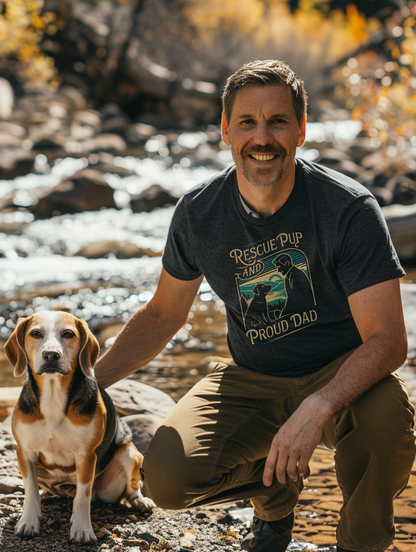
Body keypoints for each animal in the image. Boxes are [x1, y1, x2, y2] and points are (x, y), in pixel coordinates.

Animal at [5, 310, 154, 544]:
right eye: (35, 334)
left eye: (68, 334)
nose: (51, 355)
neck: (53, 397)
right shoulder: (25, 452)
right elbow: (30, 491)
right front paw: (29, 521)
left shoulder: (86, 456)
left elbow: (83, 496)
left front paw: (82, 529)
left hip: (129, 454)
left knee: (130, 487)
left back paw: (140, 501)